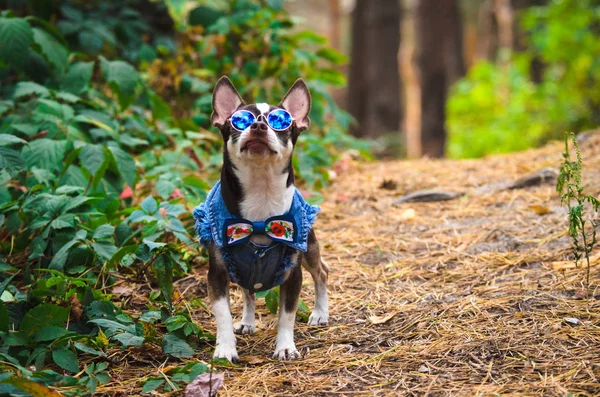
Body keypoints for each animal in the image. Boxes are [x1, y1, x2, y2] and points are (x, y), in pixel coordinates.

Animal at [192, 76, 330, 360]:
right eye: (239, 120)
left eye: (281, 121)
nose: (257, 125)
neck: (260, 191)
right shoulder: (217, 275)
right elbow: (222, 316)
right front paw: (225, 348)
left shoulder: (293, 273)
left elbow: (286, 316)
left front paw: (285, 347)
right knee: (249, 291)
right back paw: (247, 321)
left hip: (309, 248)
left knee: (321, 272)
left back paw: (321, 313)